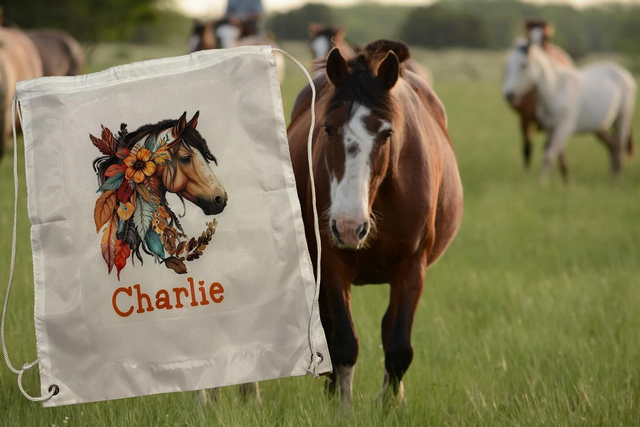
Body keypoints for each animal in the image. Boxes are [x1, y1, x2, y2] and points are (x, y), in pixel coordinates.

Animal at [287, 40, 463, 405]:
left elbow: (398, 346)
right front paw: (342, 406)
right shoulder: (333, 262)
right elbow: (343, 343)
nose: (349, 226)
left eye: (386, 133)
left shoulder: (412, 268)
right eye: (327, 127)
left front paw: (390, 405)